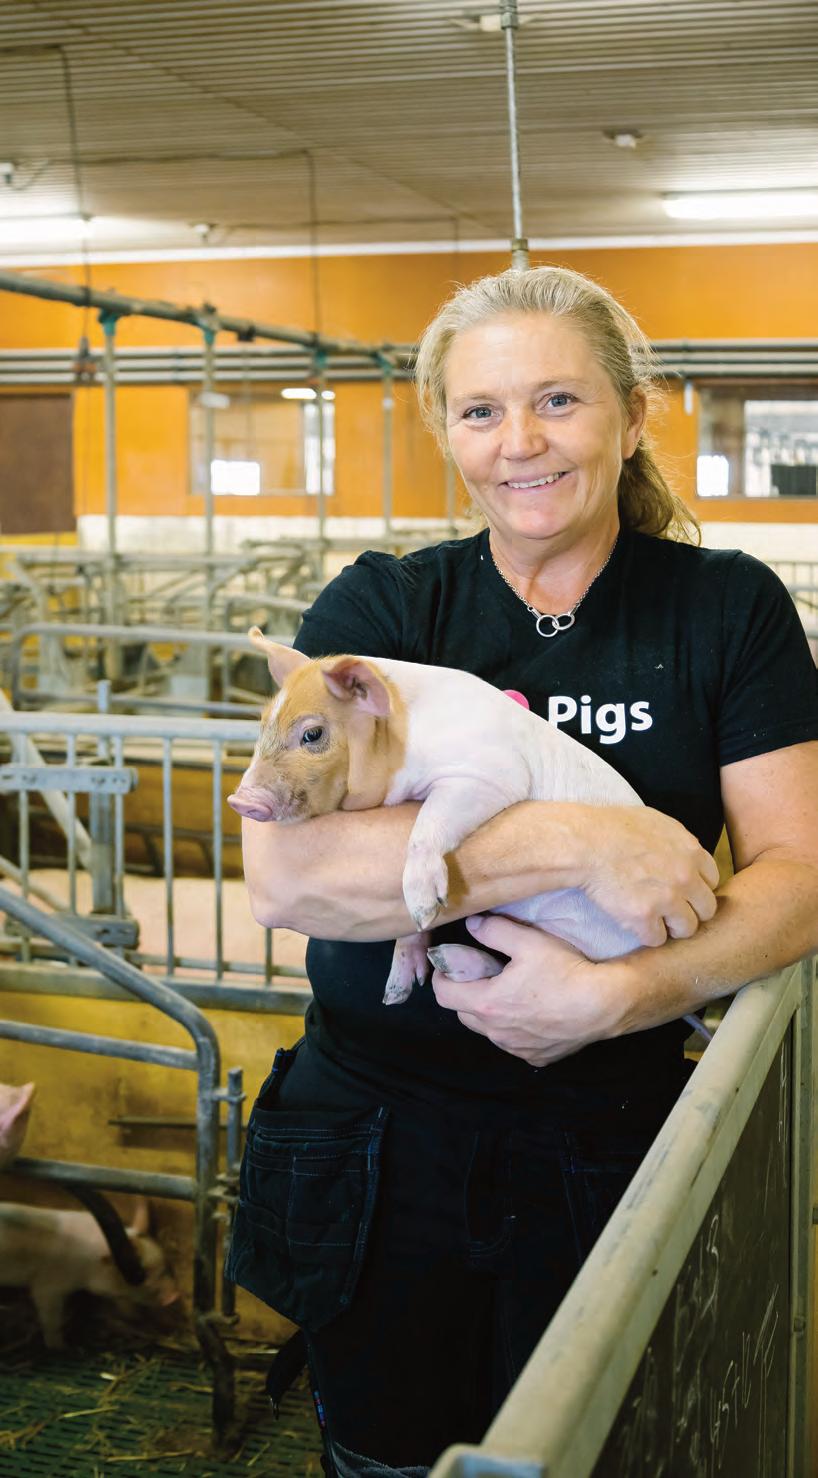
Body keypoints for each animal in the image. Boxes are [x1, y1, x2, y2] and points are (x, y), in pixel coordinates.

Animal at [0, 1195, 179, 1348]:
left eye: (166, 1263)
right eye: (139, 1275)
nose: (173, 1296)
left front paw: (131, 1315)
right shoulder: (47, 1285)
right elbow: (51, 1320)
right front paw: (60, 1348)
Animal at [227, 629, 710, 1025]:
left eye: (312, 734)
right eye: (262, 726)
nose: (240, 800)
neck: (403, 739)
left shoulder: (490, 775)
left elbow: (428, 824)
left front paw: (424, 905)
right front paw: (397, 990)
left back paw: (449, 961)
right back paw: (437, 965)